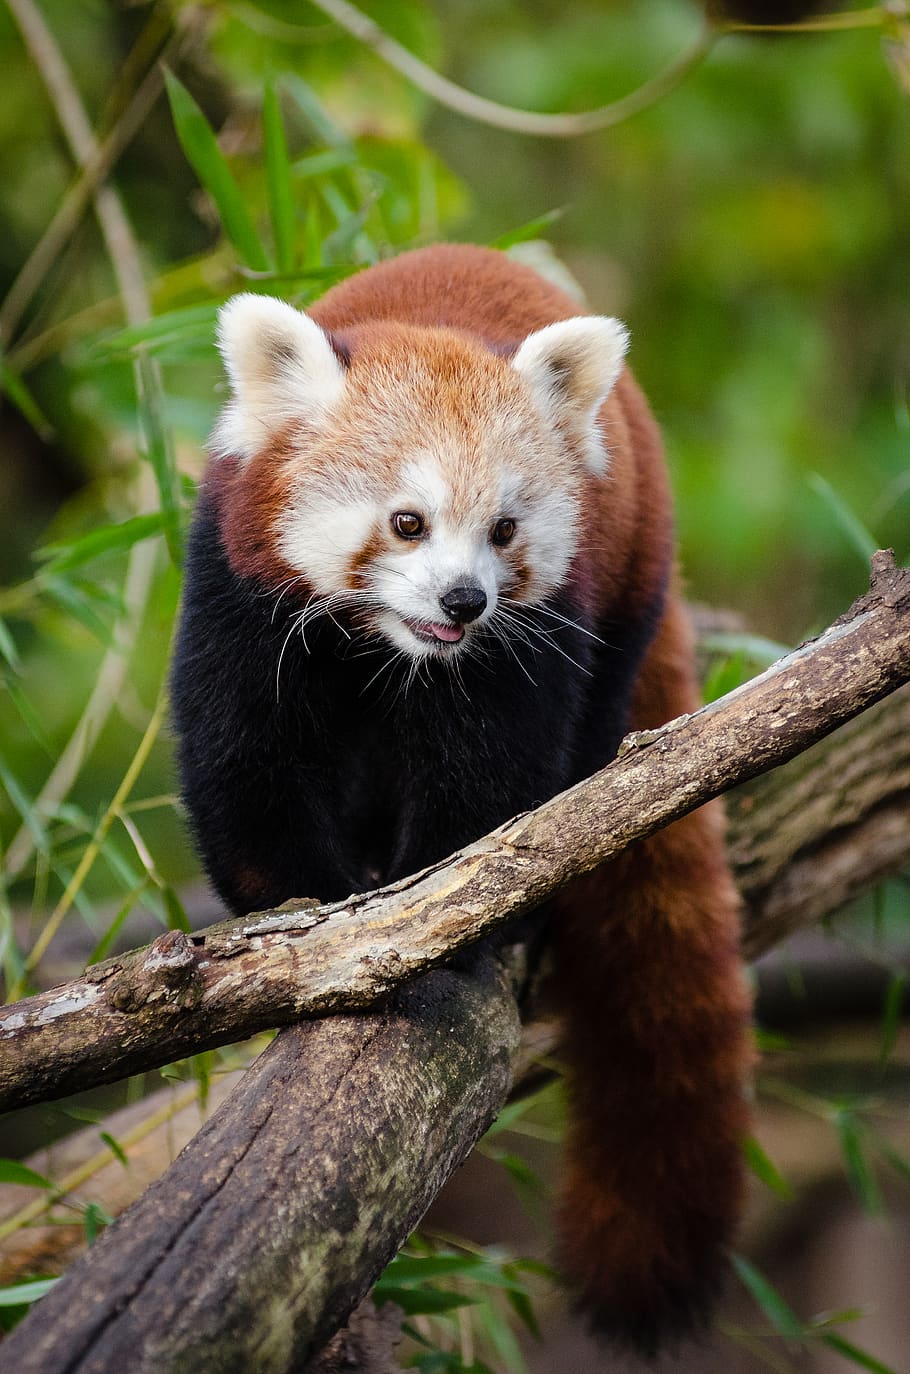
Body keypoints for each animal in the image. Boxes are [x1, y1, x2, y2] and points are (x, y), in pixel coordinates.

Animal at [173, 244, 753, 1352]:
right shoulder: (240, 588)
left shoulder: (536, 631)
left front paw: (436, 926)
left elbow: (490, 789)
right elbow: (248, 761)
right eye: (406, 522)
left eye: (503, 529)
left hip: (629, 585)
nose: (463, 600)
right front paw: (308, 915)